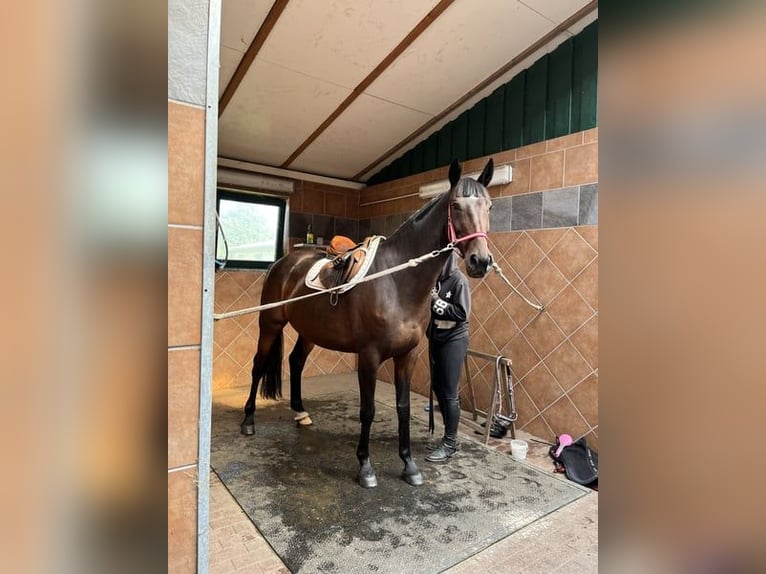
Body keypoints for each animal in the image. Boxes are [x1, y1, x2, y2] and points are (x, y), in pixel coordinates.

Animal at [241, 158, 495, 488]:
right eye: (455, 205)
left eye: (488, 206)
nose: (481, 261)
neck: (397, 280)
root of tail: (283, 263)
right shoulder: (369, 356)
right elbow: (368, 410)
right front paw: (365, 468)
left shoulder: (407, 356)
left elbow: (403, 408)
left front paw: (409, 465)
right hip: (270, 323)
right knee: (258, 365)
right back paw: (248, 420)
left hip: (310, 331)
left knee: (295, 361)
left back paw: (300, 413)